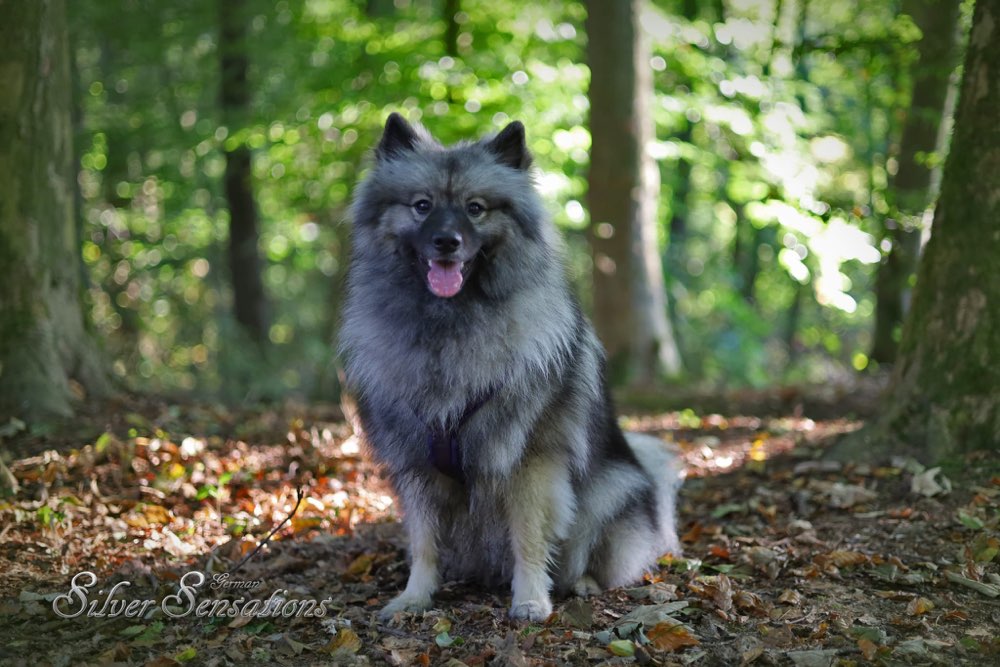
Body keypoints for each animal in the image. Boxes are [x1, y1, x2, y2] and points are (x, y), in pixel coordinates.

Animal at [338, 113, 680, 620]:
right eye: (422, 206)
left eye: (476, 208)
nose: (447, 241)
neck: (450, 326)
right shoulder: (417, 464)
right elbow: (424, 543)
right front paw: (414, 597)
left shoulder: (529, 462)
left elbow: (529, 538)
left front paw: (532, 600)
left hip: (611, 491)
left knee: (591, 553)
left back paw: (583, 583)